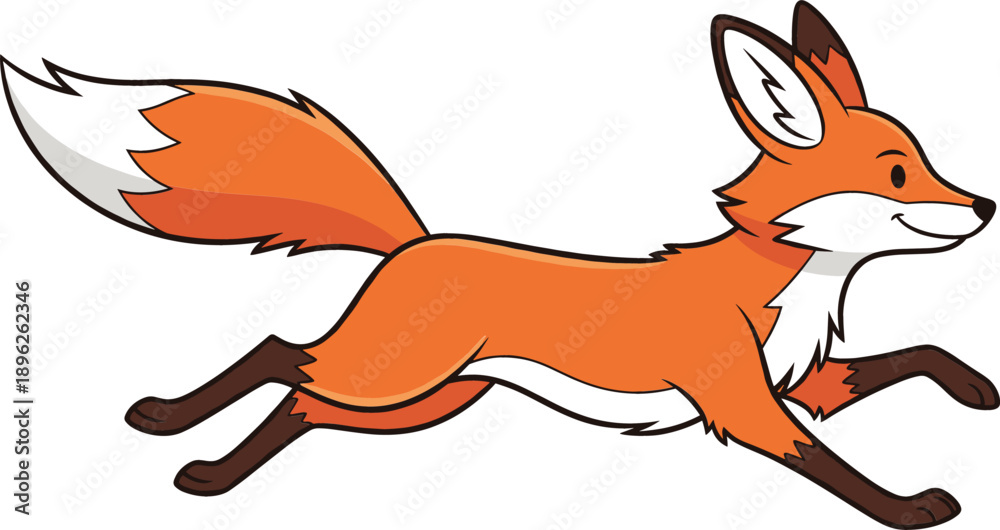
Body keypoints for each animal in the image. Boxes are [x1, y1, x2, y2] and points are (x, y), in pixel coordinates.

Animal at [2, 2, 996, 528]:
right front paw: (913, 507)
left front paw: (976, 388)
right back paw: (199, 461)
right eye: (899, 172)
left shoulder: (807, 381)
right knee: (286, 362)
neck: (789, 287)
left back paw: (183, 440)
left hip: (426, 401)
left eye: (928, 161)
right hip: (395, 381)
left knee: (300, 384)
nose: (985, 208)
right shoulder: (739, 399)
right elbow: (832, 467)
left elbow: (914, 359)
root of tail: (417, 240)